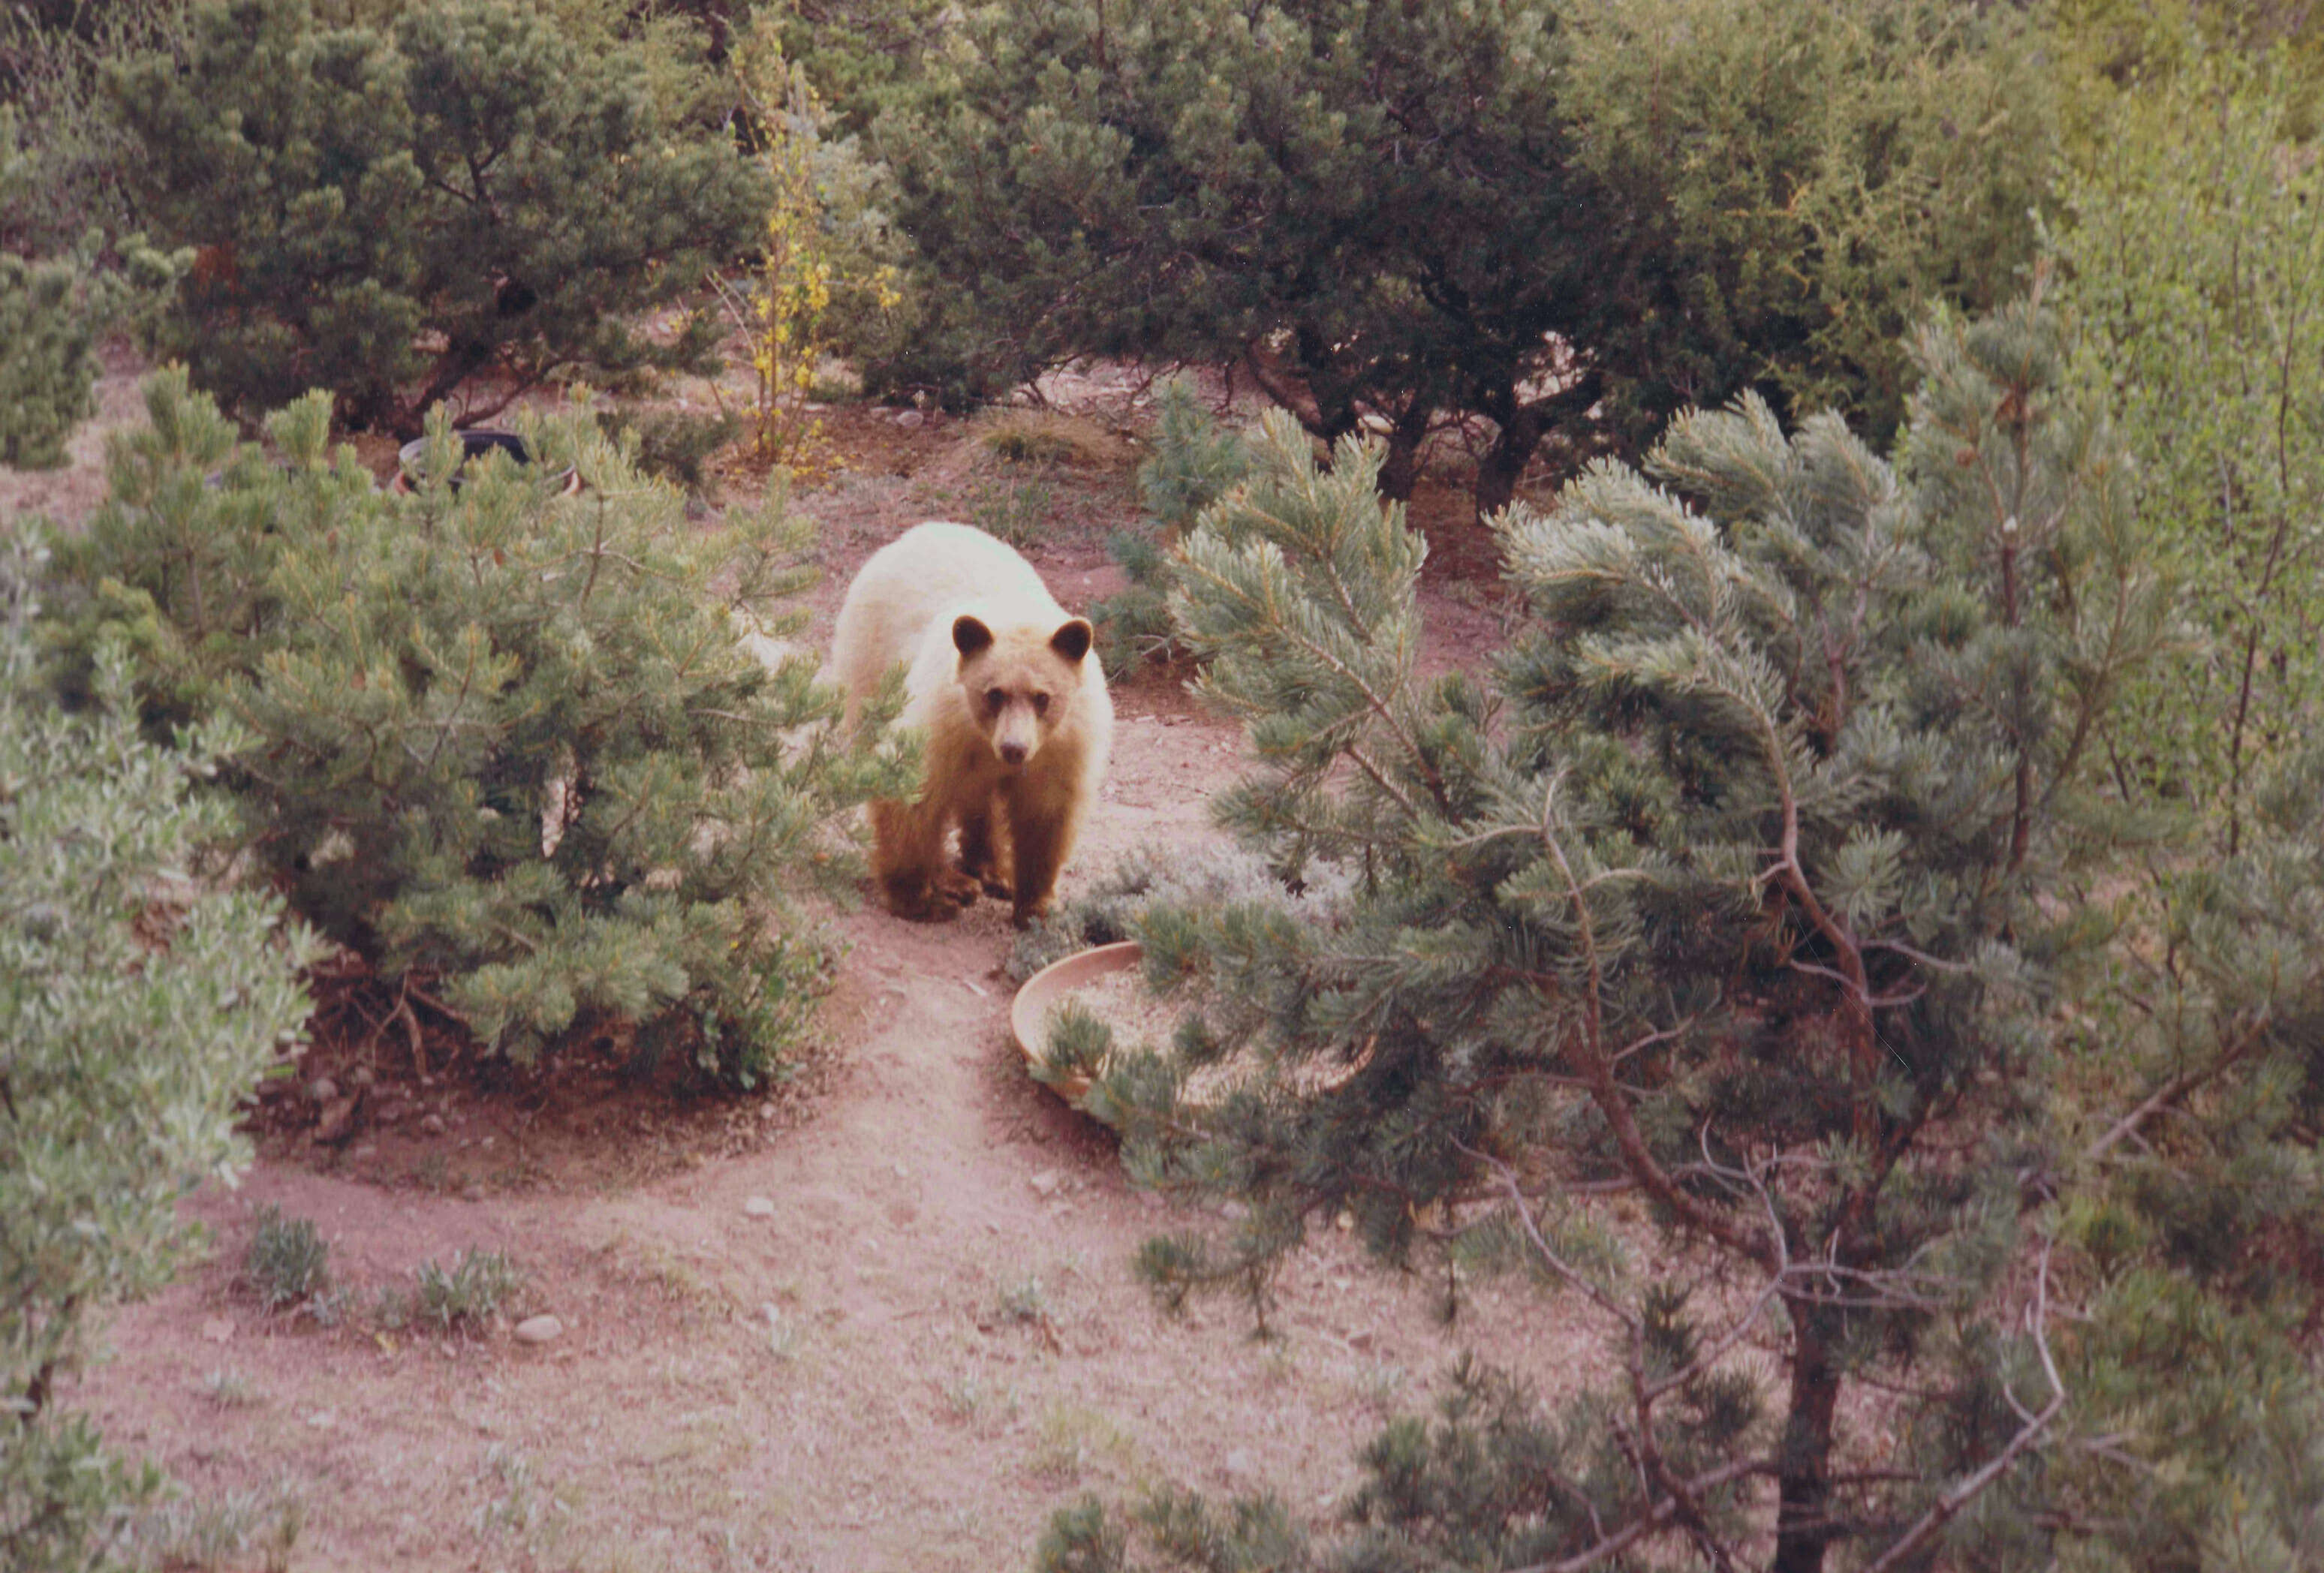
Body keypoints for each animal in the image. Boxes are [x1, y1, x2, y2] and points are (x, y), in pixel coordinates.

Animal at [832, 520, 1110, 925]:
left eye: (1043, 697)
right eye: (994, 693)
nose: (1014, 748)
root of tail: (918, 532)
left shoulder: (1062, 748)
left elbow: (1046, 816)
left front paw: (1036, 904)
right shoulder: (941, 725)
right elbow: (912, 795)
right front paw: (921, 897)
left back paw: (993, 871)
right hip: (872, 665)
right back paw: (959, 882)